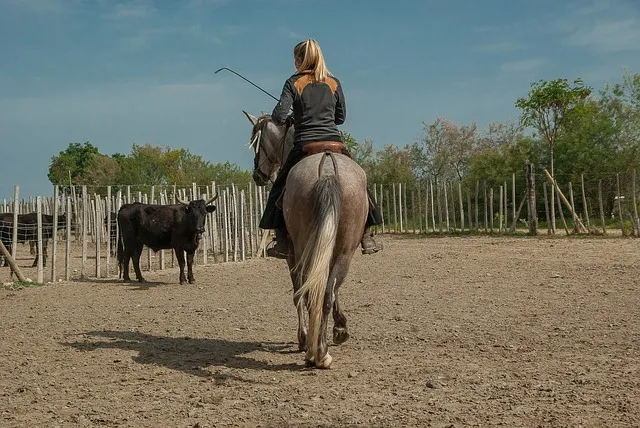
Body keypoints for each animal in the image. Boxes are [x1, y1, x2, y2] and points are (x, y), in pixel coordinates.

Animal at [243, 110, 369, 369]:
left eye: (256, 143)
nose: (257, 175)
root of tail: (328, 170)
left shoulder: (292, 256)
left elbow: (298, 292)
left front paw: (303, 337)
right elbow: (329, 289)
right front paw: (339, 328)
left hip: (304, 250)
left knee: (312, 292)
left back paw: (313, 351)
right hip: (344, 251)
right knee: (327, 292)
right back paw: (321, 351)